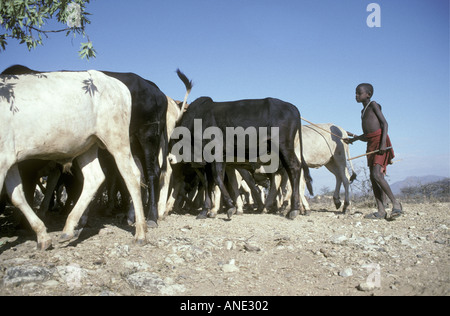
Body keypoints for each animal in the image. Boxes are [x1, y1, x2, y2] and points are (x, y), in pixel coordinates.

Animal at [0, 71, 147, 249]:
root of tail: (116, 83)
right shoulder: (9, 160)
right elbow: (17, 196)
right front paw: (42, 236)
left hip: (116, 138)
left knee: (131, 175)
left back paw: (140, 232)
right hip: (89, 144)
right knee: (94, 177)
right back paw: (69, 228)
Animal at [169, 96, 312, 220]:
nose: (170, 158)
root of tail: (292, 107)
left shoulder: (216, 154)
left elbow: (217, 178)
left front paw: (230, 207)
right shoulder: (207, 162)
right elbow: (207, 183)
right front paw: (205, 211)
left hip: (284, 146)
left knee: (294, 168)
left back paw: (293, 209)